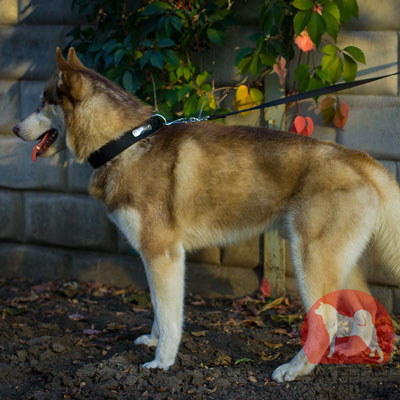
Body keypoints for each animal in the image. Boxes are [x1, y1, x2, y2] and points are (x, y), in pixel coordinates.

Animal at [12, 47, 400, 382]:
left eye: (42, 102)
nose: (14, 128)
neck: (126, 143)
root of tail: (358, 157)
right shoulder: (154, 258)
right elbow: (158, 309)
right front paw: (153, 341)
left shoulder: (163, 254)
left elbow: (170, 317)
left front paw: (162, 361)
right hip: (339, 264)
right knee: (367, 311)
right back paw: (358, 354)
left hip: (310, 263)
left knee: (328, 323)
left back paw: (296, 369)